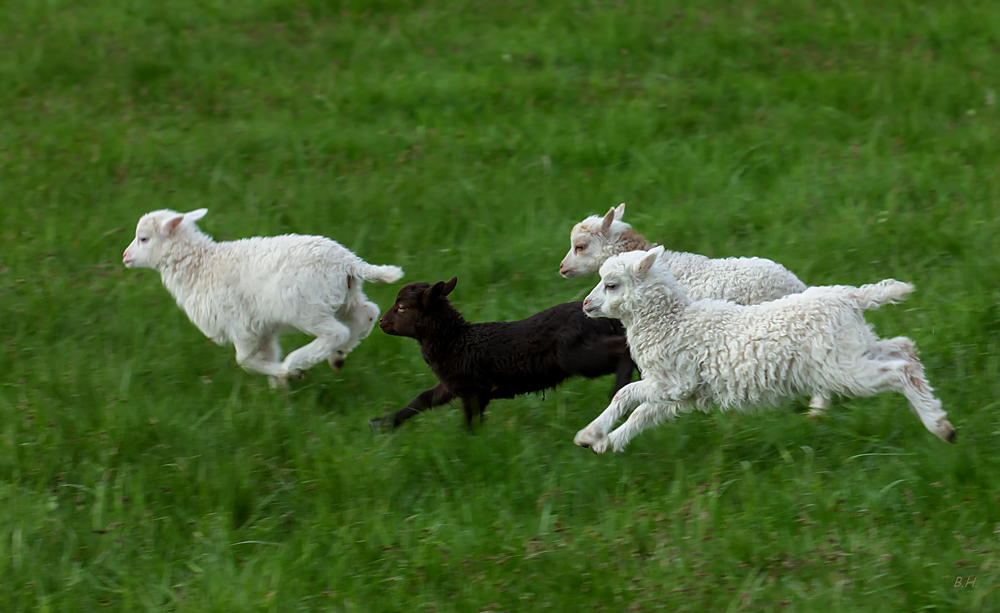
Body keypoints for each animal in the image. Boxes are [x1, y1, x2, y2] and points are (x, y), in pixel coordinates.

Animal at [123, 209, 404, 382]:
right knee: (367, 314)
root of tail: (346, 261)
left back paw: (298, 361)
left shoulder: (240, 326)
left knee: (336, 332)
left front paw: (284, 373)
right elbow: (265, 356)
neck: (202, 265)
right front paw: (279, 388)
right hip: (344, 297)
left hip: (307, 308)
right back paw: (338, 357)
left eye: (143, 239)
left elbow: (244, 361)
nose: (125, 256)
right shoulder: (261, 327)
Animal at [368, 278, 632, 430]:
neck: (453, 341)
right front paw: (382, 424)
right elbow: (422, 399)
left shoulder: (473, 390)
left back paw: (619, 389)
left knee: (623, 348)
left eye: (402, 308)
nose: (380, 322)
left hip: (575, 354)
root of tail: (608, 318)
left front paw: (469, 445)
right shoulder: (454, 384)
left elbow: (471, 420)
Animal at [572, 246, 952, 452]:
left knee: (898, 369)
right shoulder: (681, 393)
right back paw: (935, 414)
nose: (586, 305)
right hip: (852, 346)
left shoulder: (675, 381)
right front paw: (605, 442)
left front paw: (591, 434)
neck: (673, 321)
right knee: (904, 349)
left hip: (840, 367)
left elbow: (625, 395)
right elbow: (642, 414)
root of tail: (849, 296)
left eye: (611, 284)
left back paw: (939, 427)